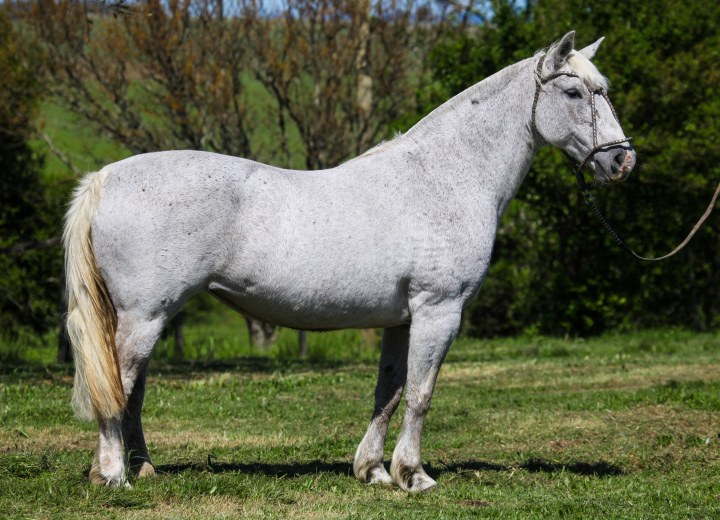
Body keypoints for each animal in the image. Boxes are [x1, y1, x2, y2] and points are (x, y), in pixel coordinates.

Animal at [63, 31, 636, 492]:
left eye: (603, 89)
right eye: (574, 92)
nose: (622, 160)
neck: (445, 175)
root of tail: (106, 176)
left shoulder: (402, 321)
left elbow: (389, 391)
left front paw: (374, 471)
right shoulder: (438, 311)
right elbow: (420, 394)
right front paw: (414, 476)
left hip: (150, 317)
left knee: (134, 390)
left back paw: (143, 468)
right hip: (144, 316)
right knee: (119, 384)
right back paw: (113, 474)